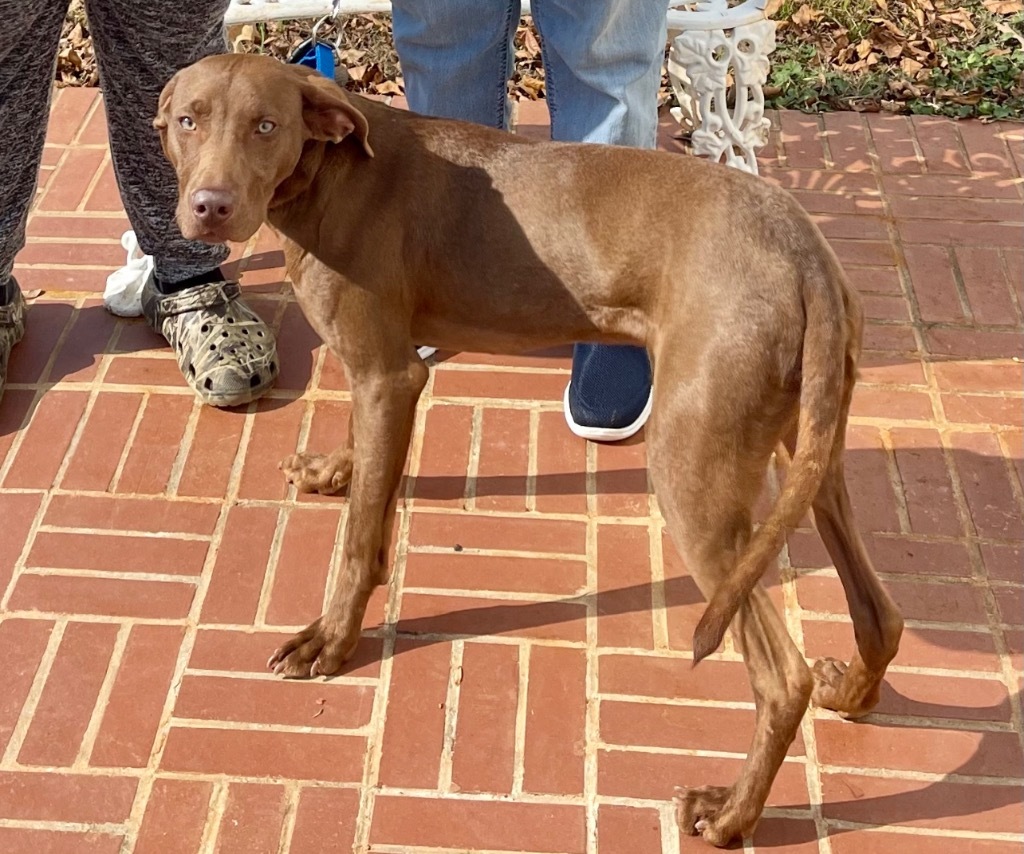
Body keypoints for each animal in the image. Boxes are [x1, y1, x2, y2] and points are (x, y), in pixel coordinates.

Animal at [153, 54, 905, 843]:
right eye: (188, 121)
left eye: (266, 126)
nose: (209, 208)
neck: (332, 175)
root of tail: (804, 249)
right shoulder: (378, 377)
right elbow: (365, 477)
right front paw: (337, 470)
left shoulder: (391, 375)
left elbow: (358, 544)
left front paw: (330, 639)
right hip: (809, 445)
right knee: (879, 611)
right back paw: (852, 693)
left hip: (692, 469)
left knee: (782, 677)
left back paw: (731, 814)